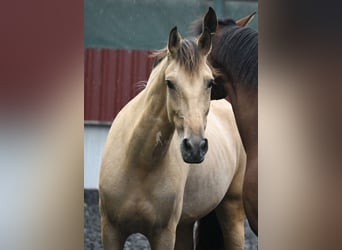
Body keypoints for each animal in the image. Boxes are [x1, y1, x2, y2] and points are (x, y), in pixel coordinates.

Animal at [99, 7, 246, 250]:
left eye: (210, 82)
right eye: (170, 83)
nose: (195, 147)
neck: (139, 162)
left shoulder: (164, 234)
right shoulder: (111, 231)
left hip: (231, 211)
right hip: (185, 225)